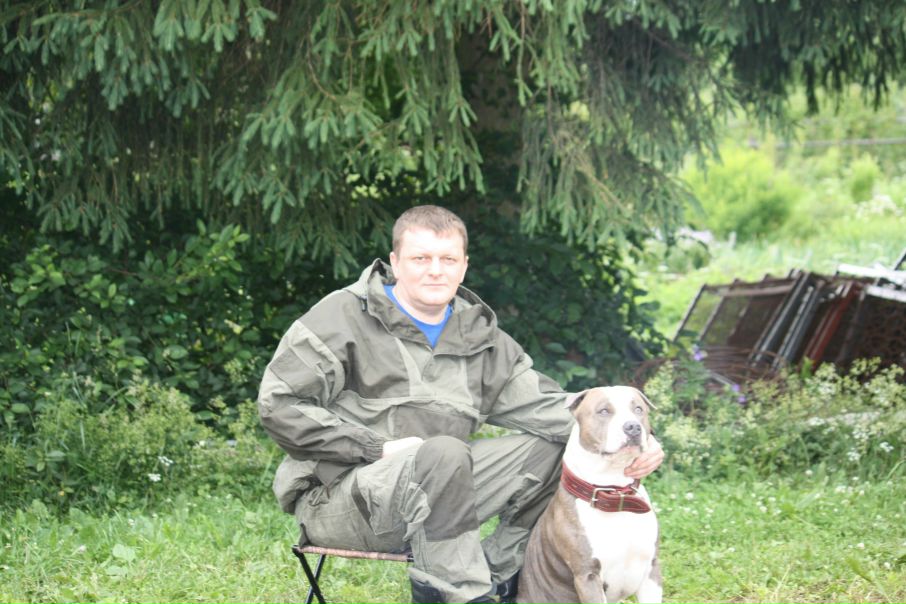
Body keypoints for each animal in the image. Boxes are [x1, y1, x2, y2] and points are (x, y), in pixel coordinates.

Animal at [517, 386, 662, 604]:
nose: (633, 427)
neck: (616, 493)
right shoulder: (587, 575)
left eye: (638, 409)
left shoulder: (652, 570)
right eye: (604, 411)